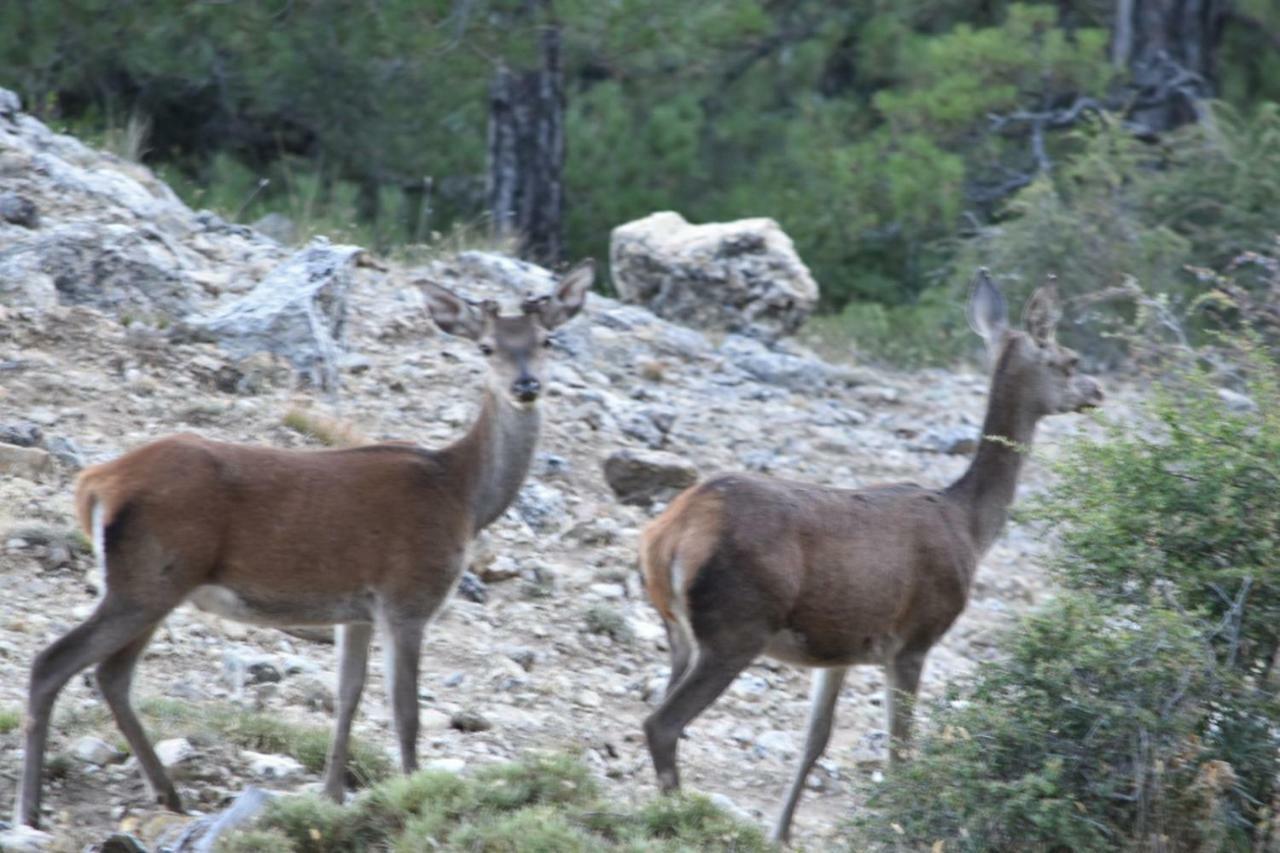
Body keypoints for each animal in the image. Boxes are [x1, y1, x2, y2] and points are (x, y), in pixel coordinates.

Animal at [13, 261, 593, 824]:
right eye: (486, 346)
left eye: (547, 339)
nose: (526, 385)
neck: (463, 495)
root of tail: (96, 482)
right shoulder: (408, 597)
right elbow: (405, 711)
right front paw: (415, 794)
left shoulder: (357, 611)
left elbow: (348, 695)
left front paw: (332, 793)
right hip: (148, 577)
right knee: (53, 662)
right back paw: (31, 806)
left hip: (153, 583)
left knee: (111, 675)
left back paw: (169, 795)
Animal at [640, 268, 1100, 840]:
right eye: (1070, 359)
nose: (1096, 390)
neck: (969, 526)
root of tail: (668, 536)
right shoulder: (914, 639)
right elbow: (900, 754)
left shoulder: (837, 649)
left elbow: (815, 741)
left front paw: (780, 834)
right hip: (735, 626)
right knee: (662, 723)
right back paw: (679, 821)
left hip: (679, 632)